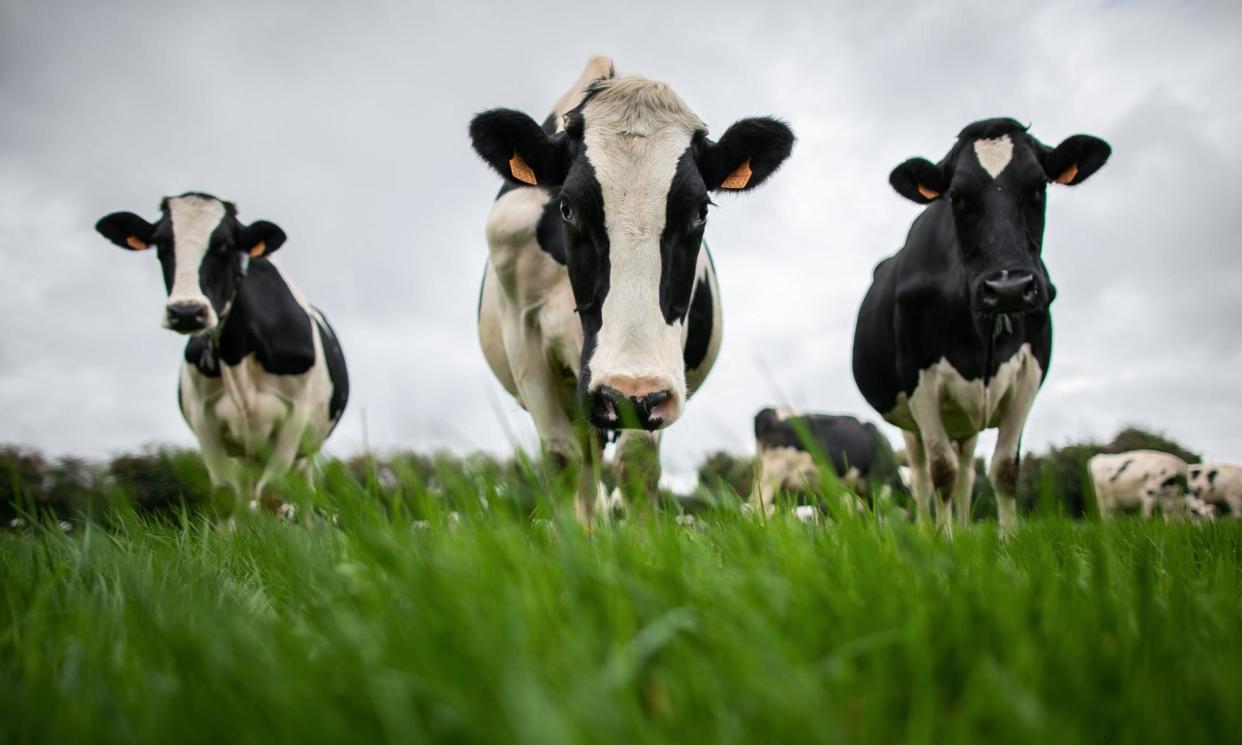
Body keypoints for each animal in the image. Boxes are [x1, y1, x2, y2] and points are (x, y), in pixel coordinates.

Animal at [95, 191, 350, 511]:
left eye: (226, 245)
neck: (236, 352)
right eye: (162, 244)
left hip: (304, 449)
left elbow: (275, 493)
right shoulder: (207, 423)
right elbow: (226, 495)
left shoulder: (294, 419)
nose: (187, 312)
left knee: (299, 494)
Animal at [466, 56, 794, 523]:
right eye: (566, 207)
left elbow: (637, 464)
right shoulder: (523, 338)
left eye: (700, 211)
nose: (628, 392)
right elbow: (562, 459)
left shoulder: (662, 366)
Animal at [849, 119, 1112, 531]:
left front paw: (1007, 541)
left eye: (1038, 187)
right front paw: (941, 541)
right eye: (957, 197)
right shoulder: (920, 380)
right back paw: (928, 529)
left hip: (965, 422)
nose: (1008, 287)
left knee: (967, 473)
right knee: (923, 476)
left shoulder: (1028, 375)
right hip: (911, 422)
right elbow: (941, 471)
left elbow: (1004, 470)